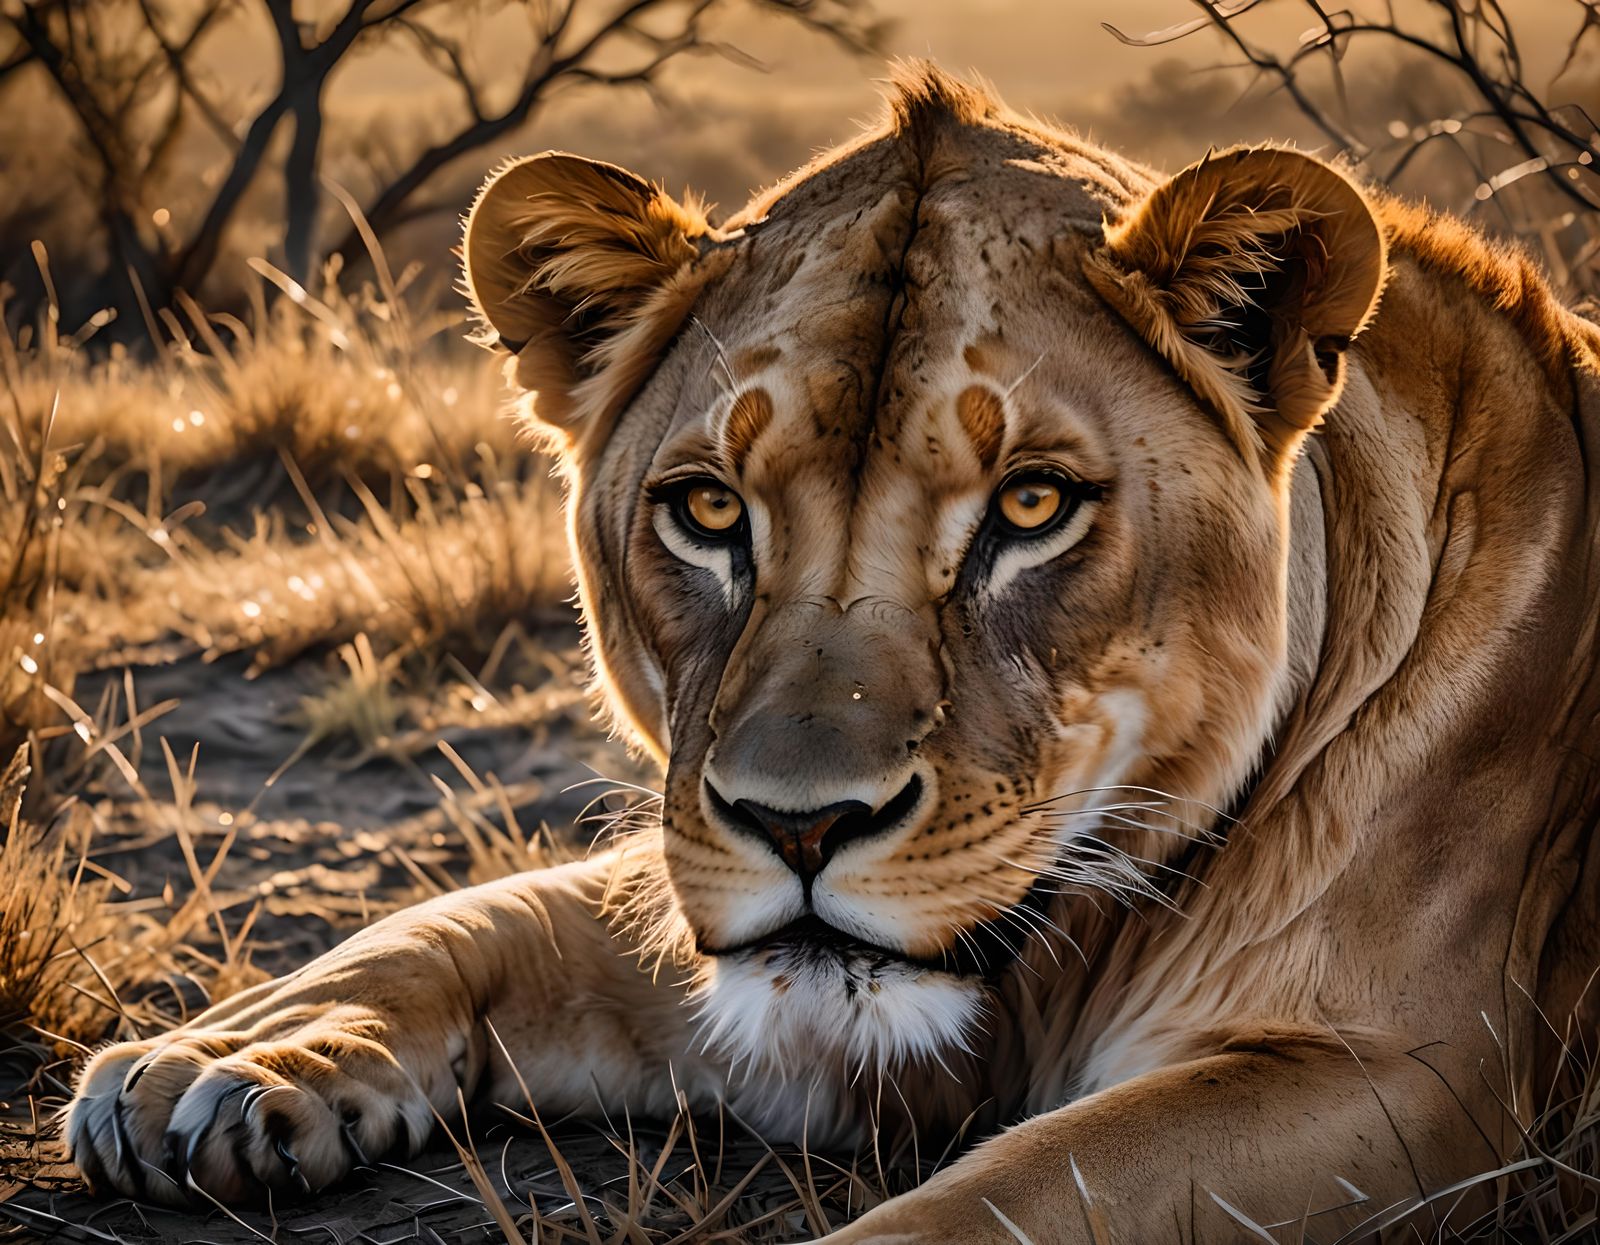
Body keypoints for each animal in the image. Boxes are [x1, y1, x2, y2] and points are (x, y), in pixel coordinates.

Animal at [66, 64, 1600, 1242]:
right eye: (706, 512)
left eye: (1031, 507)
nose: (801, 829)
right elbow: (473, 916)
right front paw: (220, 1053)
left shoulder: (1408, 1076)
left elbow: (997, 1203)